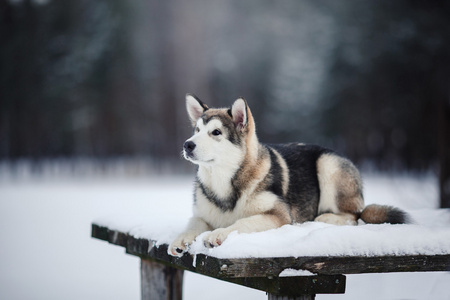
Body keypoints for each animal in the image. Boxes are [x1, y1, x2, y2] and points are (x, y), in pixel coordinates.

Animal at [167, 95, 410, 256]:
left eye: (216, 132)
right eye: (196, 131)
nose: (187, 145)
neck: (224, 183)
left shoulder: (278, 215)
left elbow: (242, 223)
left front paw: (217, 234)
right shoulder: (202, 215)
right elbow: (193, 224)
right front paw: (180, 239)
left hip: (328, 165)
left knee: (354, 215)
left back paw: (327, 218)